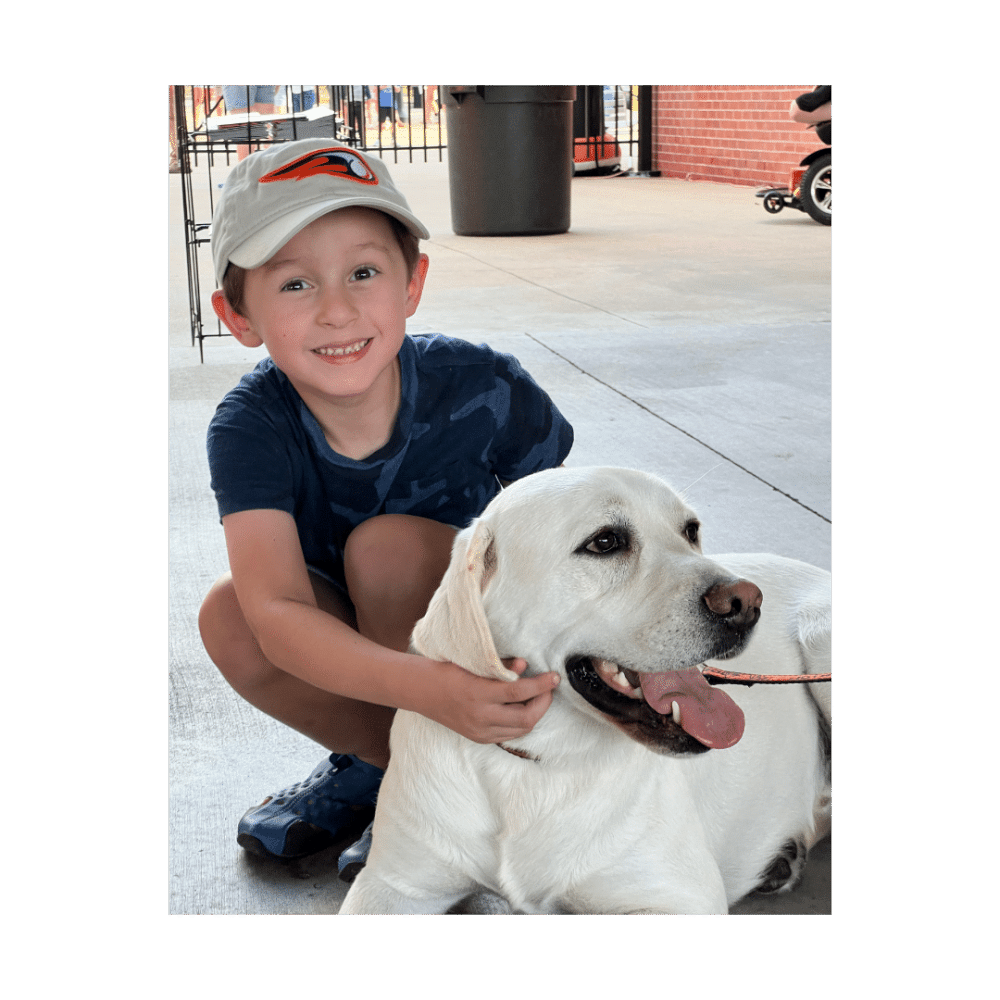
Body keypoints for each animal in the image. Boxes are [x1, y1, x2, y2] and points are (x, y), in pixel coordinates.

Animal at [340, 468, 832, 916]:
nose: (746, 603)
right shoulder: (393, 884)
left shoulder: (679, 896)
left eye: (690, 531)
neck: (535, 760)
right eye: (605, 542)